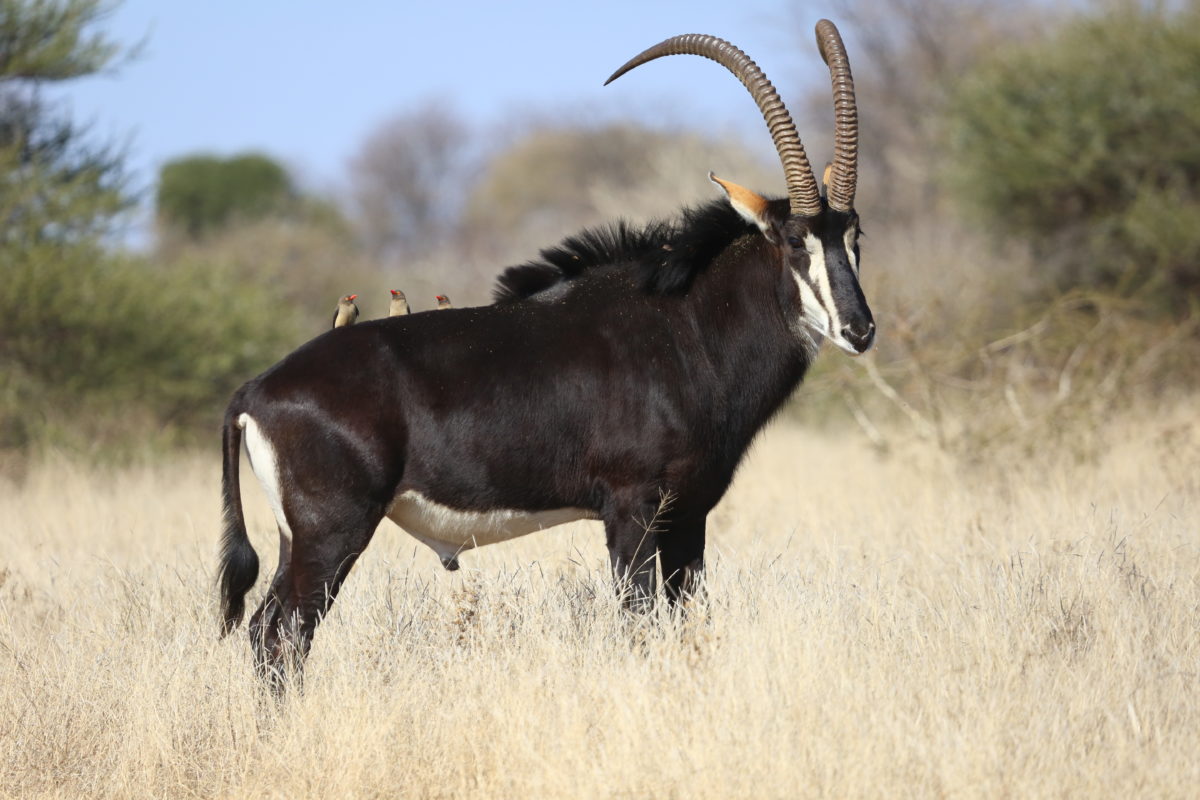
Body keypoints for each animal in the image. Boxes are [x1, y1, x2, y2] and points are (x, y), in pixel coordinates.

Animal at [216, 21, 873, 681]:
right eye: (794, 240)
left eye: (855, 235)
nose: (859, 329)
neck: (687, 325)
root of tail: (255, 392)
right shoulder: (631, 510)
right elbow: (639, 622)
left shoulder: (689, 515)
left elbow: (690, 622)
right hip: (332, 532)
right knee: (288, 632)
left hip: (296, 539)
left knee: (264, 629)